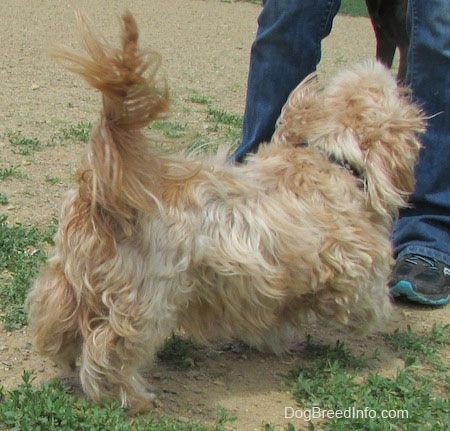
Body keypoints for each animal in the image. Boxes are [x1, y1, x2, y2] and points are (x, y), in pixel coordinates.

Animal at [26, 11, 424, 414]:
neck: (330, 157)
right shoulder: (353, 265)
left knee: (57, 321)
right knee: (109, 350)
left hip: (70, 276)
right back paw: (130, 396)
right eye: (388, 90)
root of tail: (105, 188)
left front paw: (274, 339)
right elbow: (365, 297)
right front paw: (377, 315)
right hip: (145, 301)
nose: (389, 67)